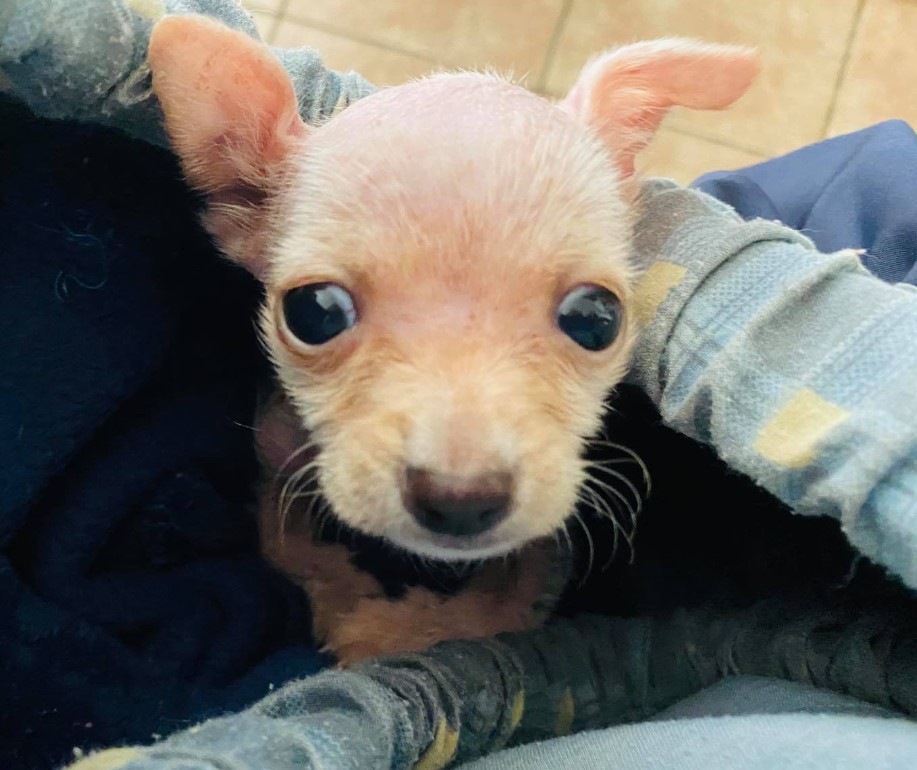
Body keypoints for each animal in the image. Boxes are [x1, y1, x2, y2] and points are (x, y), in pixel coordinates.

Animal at [147, 15, 756, 664]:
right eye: (313, 313)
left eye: (598, 318)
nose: (461, 499)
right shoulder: (278, 458)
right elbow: (293, 549)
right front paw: (349, 609)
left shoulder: (542, 548)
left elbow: (498, 609)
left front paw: (400, 631)